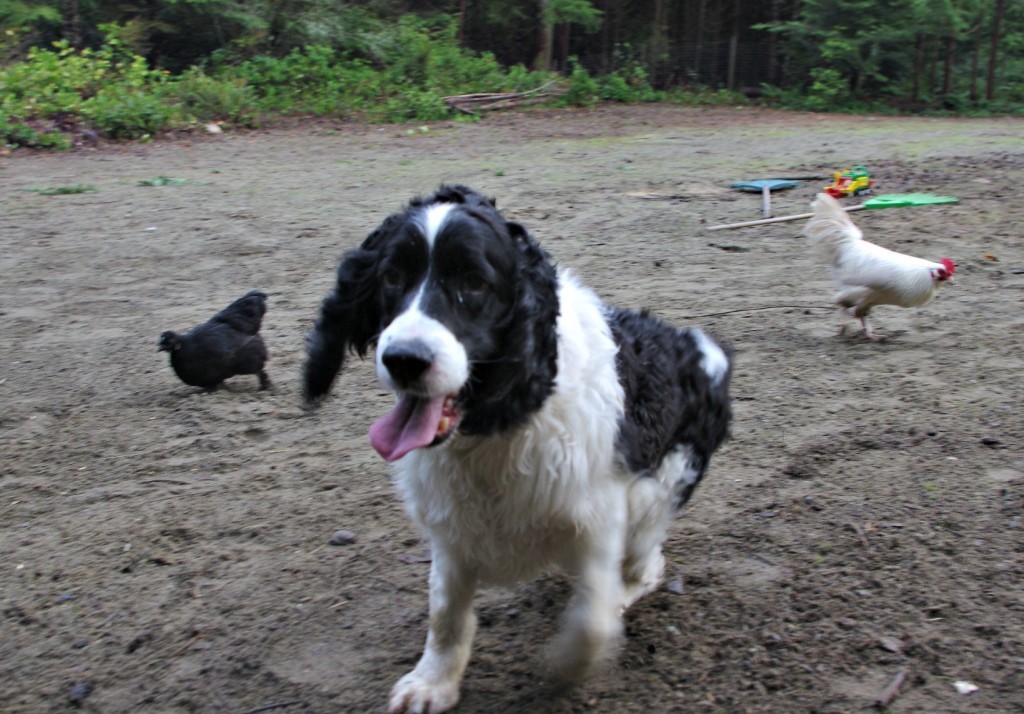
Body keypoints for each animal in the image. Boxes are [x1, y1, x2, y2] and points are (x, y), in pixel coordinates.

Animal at [301, 185, 729, 712]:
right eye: (391, 276)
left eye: (473, 283)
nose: (403, 360)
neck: (496, 426)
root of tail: (704, 350)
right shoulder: (452, 530)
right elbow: (446, 614)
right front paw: (433, 682)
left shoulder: (599, 514)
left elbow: (591, 620)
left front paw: (567, 670)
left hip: (658, 492)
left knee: (645, 565)